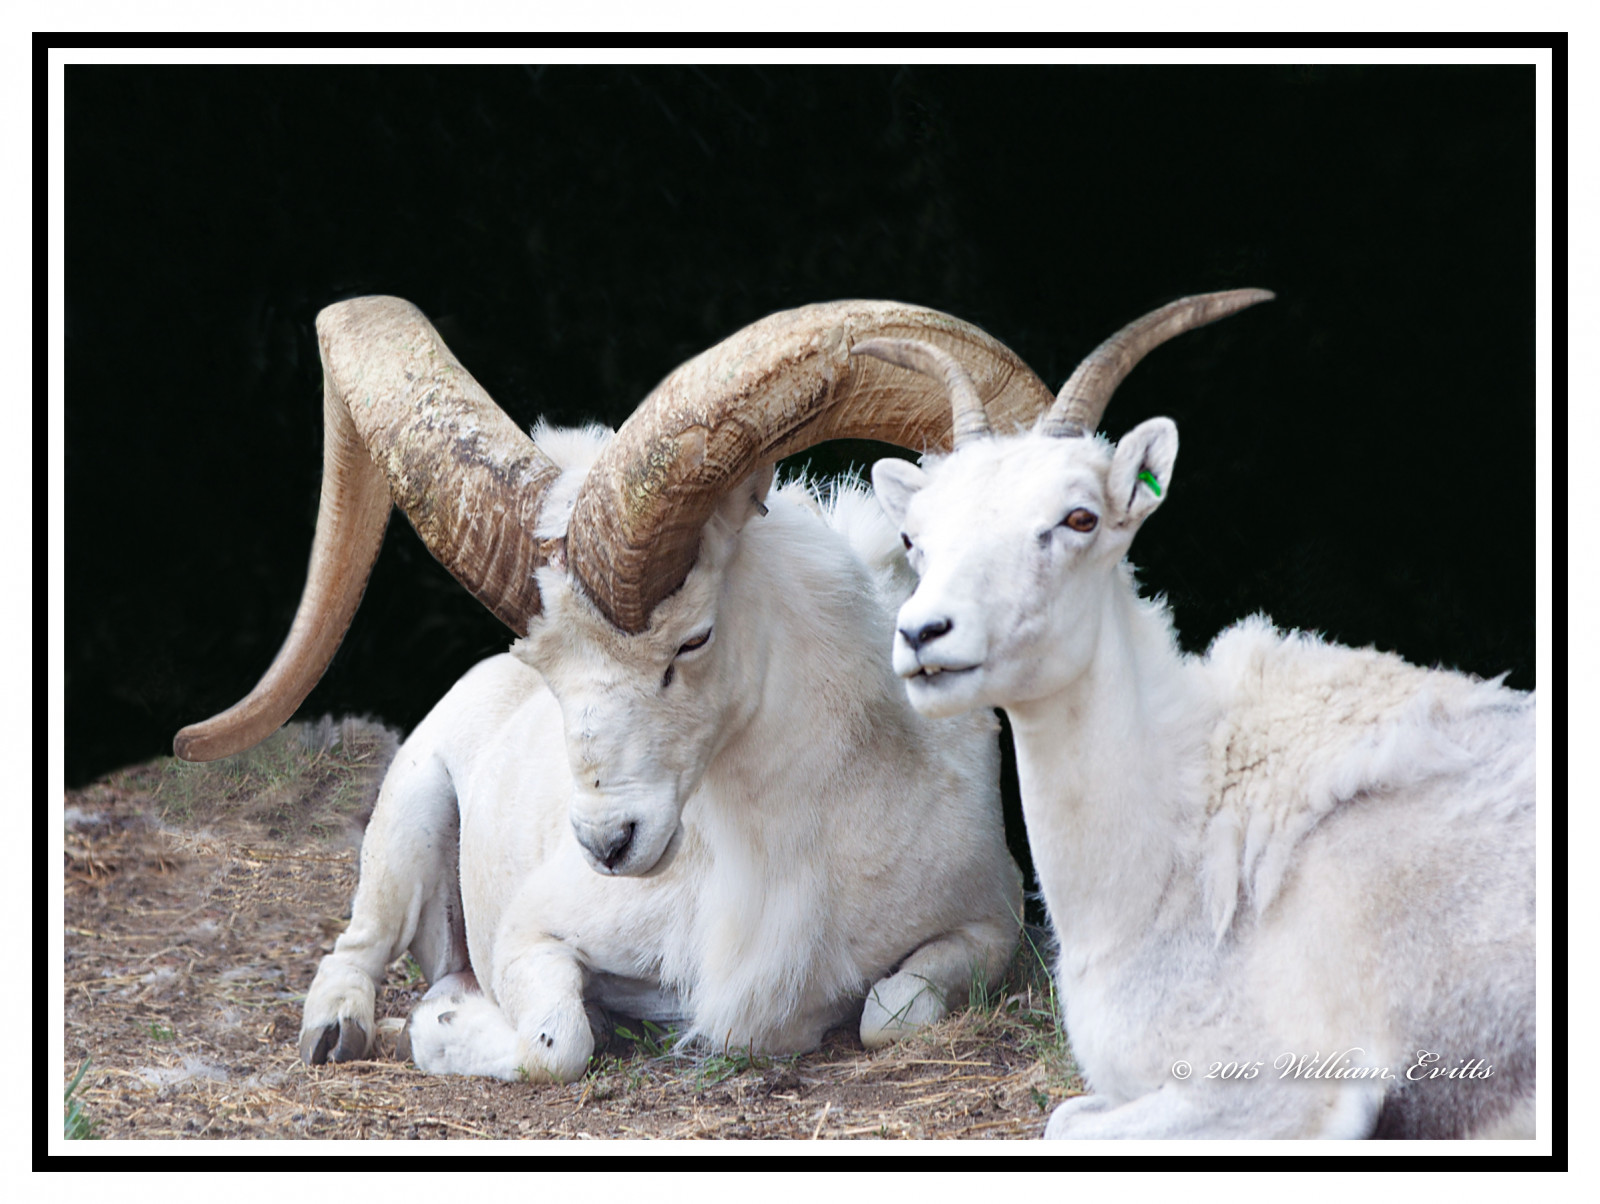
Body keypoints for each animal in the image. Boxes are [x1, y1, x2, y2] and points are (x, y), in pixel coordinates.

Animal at [174, 295, 1059, 1082]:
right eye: (540, 663)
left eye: (693, 639)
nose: (608, 843)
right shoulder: (533, 938)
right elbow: (556, 1043)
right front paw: (443, 1022)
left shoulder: (989, 926)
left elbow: (888, 1014)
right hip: (409, 817)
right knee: (353, 950)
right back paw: (340, 1033)